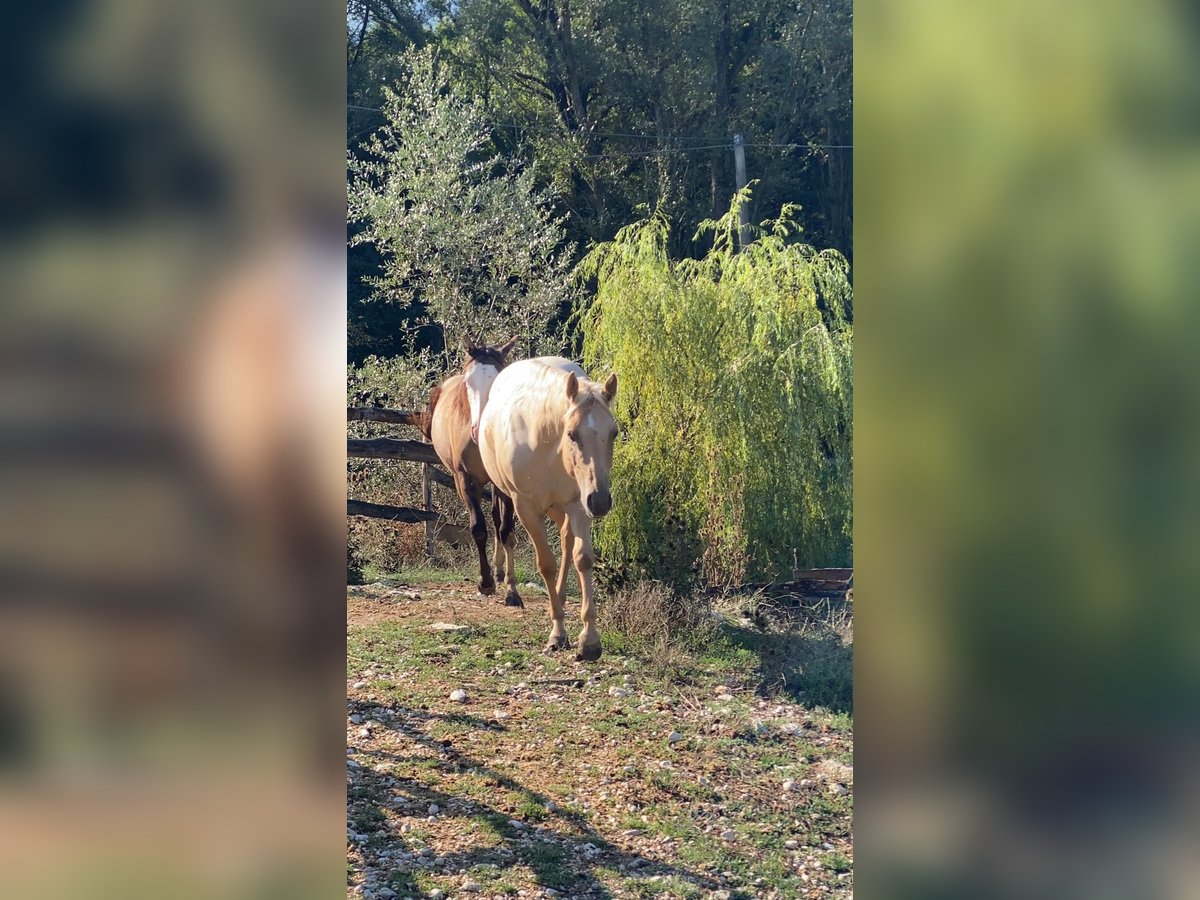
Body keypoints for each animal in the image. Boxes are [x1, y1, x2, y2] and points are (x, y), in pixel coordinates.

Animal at [475, 360, 619, 662]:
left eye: (614, 433)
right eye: (572, 434)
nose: (601, 501)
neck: (545, 441)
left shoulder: (579, 503)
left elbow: (582, 559)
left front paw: (589, 640)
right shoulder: (526, 508)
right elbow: (546, 565)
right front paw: (558, 634)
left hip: (565, 507)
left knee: (566, 542)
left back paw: (561, 597)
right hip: (511, 498)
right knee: (506, 534)